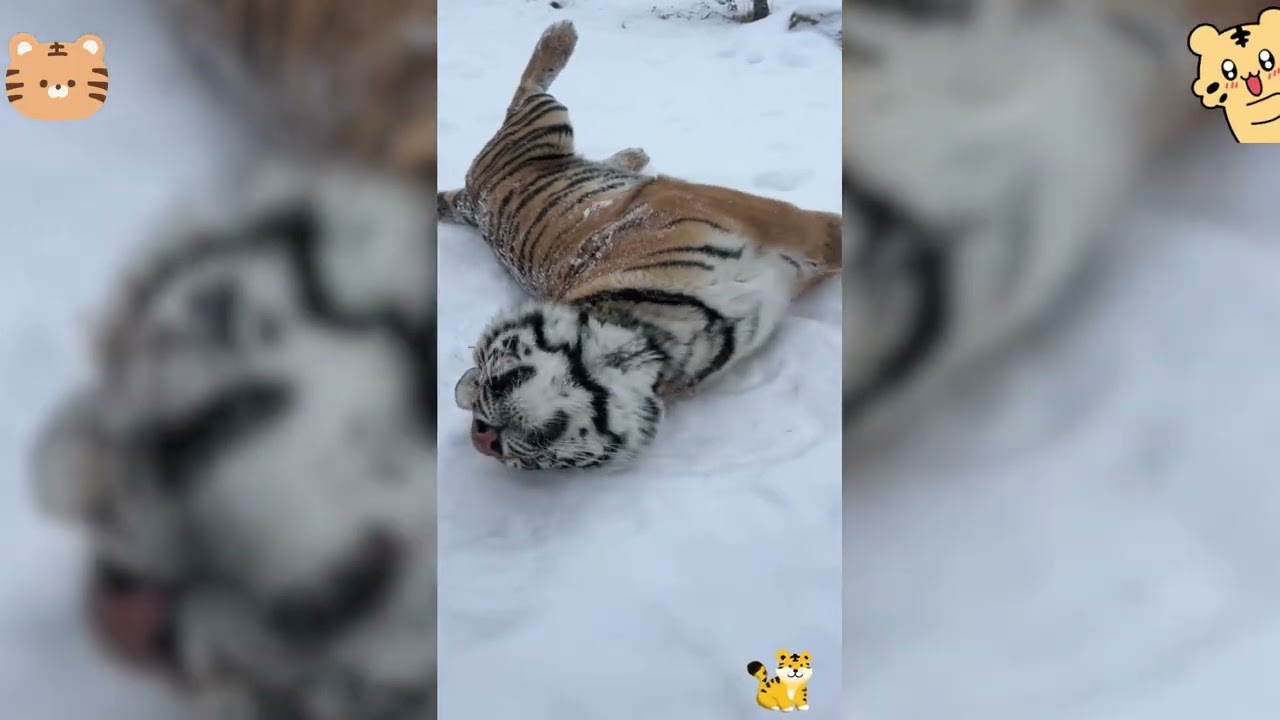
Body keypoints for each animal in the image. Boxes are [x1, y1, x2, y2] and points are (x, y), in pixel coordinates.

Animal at [438, 20, 842, 470]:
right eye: (526, 465)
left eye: (485, 375)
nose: (482, 439)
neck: (657, 344)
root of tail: (474, 200)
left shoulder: (781, 225)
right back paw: (632, 152)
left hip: (544, 123)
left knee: (526, 89)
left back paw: (561, 34)